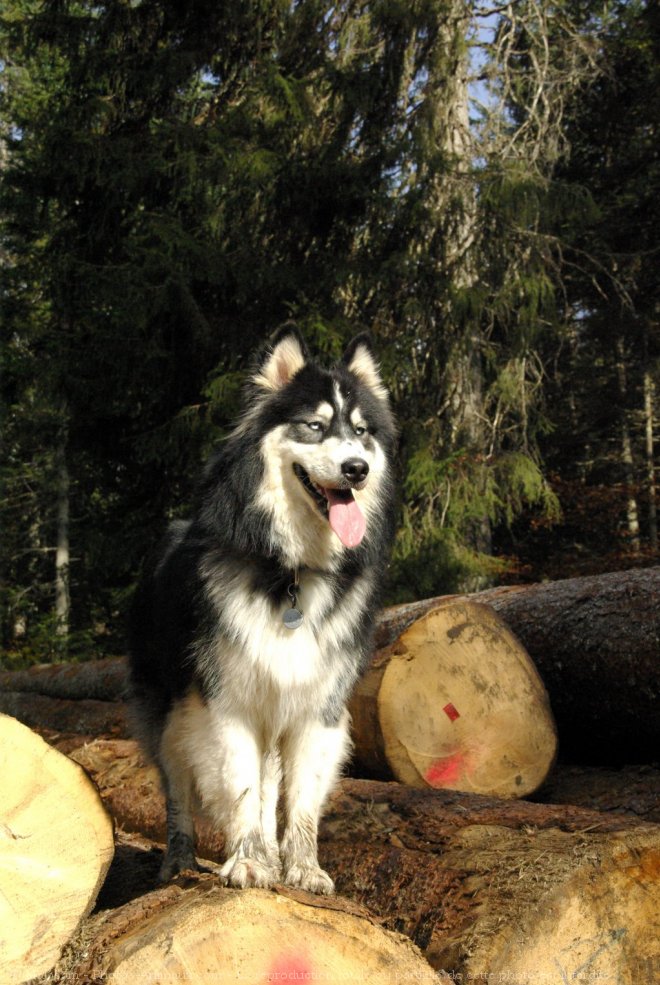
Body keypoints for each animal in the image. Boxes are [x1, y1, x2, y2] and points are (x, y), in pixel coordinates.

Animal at [129, 328, 398, 892]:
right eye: (314, 426)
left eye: (362, 432)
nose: (357, 470)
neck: (290, 570)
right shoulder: (225, 701)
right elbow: (241, 788)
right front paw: (249, 861)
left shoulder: (316, 703)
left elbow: (299, 800)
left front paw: (302, 868)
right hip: (167, 711)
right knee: (178, 789)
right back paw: (179, 861)